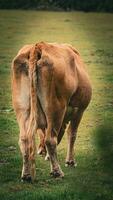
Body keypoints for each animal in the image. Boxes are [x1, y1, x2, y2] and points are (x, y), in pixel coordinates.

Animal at [11, 41, 92, 181]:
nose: (41, 152)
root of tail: (38, 46)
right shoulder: (79, 110)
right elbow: (72, 134)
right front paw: (70, 161)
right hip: (55, 109)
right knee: (50, 139)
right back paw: (57, 172)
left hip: (22, 108)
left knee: (24, 139)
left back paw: (26, 175)